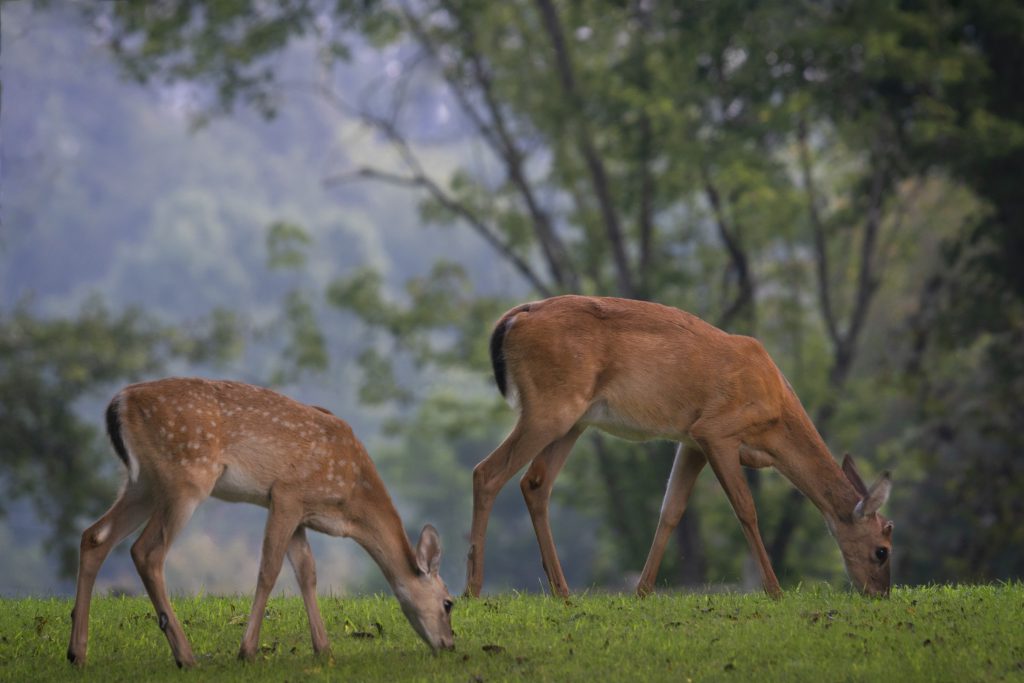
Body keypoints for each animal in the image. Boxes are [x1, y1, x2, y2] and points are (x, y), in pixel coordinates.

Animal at [67, 378, 454, 669]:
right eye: (449, 603)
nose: (450, 644)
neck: (350, 501)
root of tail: (120, 402)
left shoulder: (298, 511)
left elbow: (307, 573)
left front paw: (324, 648)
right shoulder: (286, 494)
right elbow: (269, 570)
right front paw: (247, 650)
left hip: (143, 483)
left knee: (94, 536)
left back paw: (77, 653)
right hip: (186, 476)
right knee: (146, 551)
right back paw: (186, 656)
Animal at [465, 295, 893, 599]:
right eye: (882, 550)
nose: (880, 594)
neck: (776, 415)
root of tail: (515, 317)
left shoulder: (692, 441)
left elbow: (671, 510)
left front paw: (642, 591)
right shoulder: (716, 429)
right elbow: (746, 509)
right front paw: (774, 591)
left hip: (574, 420)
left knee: (535, 483)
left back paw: (562, 591)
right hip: (551, 408)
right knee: (486, 472)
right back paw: (473, 590)